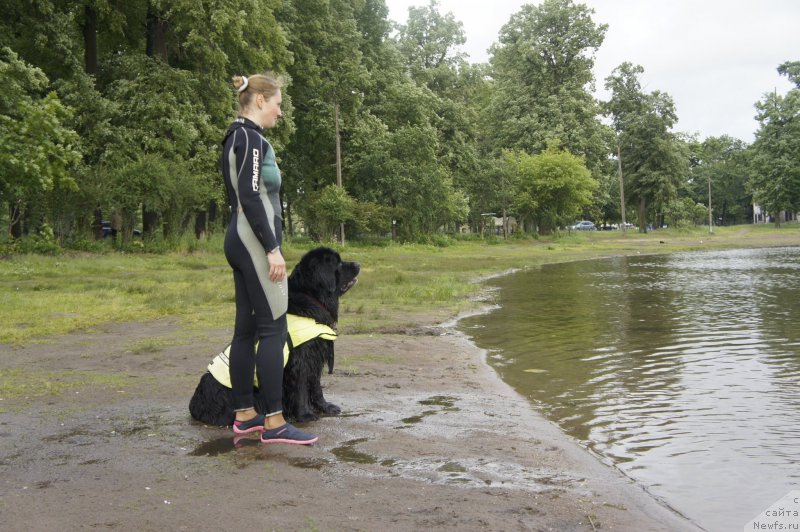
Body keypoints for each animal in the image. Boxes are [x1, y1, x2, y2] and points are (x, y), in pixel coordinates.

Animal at [189, 247, 358, 426]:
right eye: (338, 263)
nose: (358, 264)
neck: (312, 299)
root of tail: (196, 404)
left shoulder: (315, 358)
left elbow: (316, 386)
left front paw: (325, 407)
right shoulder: (300, 361)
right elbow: (301, 389)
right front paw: (305, 414)